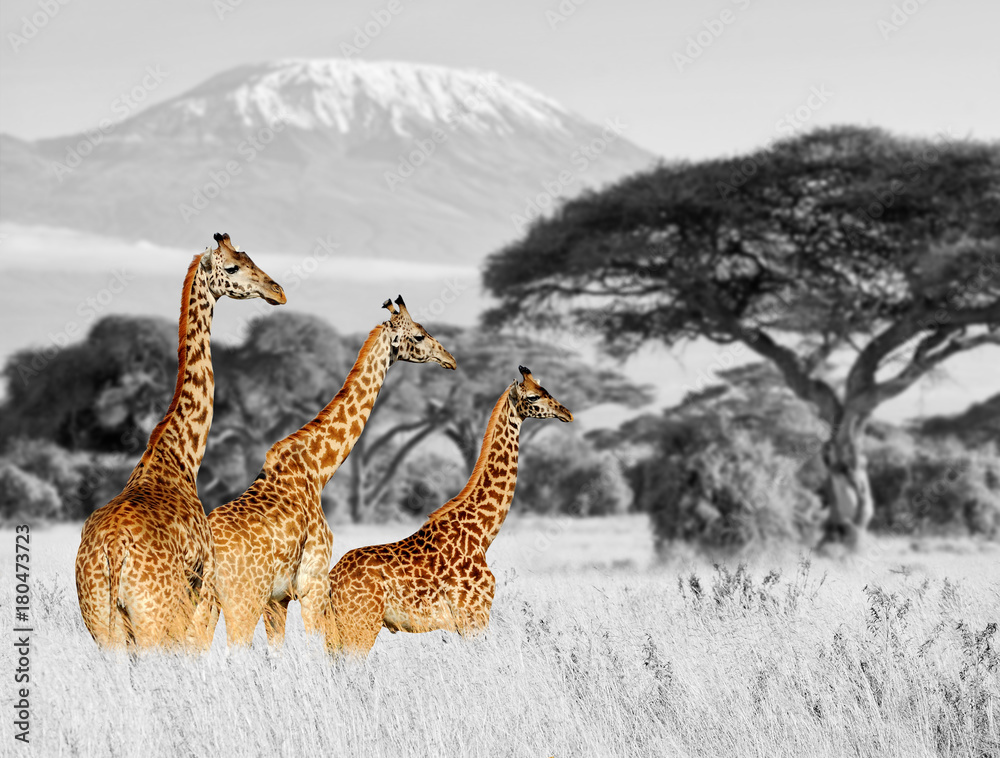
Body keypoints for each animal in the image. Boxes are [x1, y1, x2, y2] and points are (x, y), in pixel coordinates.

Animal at [74, 233, 286, 651]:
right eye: (233, 267)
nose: (278, 291)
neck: (181, 455)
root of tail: (112, 551)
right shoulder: (201, 589)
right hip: (153, 619)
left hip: (102, 624)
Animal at [202, 296, 457, 649]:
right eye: (419, 335)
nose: (450, 359)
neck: (318, 469)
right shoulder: (313, 583)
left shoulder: (278, 599)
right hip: (243, 600)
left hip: (204, 600)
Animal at [325, 365, 572, 657]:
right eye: (533, 396)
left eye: (546, 390)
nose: (566, 413)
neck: (482, 533)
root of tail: (330, 581)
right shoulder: (474, 616)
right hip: (359, 626)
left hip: (339, 633)